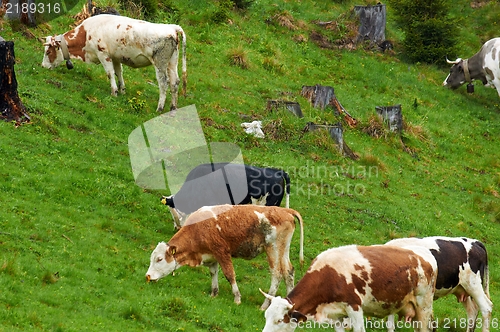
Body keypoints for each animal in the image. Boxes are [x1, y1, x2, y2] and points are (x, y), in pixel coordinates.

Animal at [40, 13, 186, 111]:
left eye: (48, 52)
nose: (43, 66)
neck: (86, 34)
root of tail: (172, 27)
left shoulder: (103, 54)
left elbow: (110, 73)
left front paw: (114, 92)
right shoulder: (115, 57)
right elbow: (119, 73)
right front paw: (122, 90)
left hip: (160, 63)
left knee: (164, 83)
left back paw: (160, 108)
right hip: (172, 62)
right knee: (175, 82)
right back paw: (173, 107)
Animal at [145, 204, 304, 310]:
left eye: (159, 259)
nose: (147, 276)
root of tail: (285, 210)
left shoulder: (222, 252)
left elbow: (229, 275)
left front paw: (237, 298)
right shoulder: (212, 255)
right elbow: (213, 273)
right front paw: (214, 293)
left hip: (273, 249)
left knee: (277, 275)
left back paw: (264, 305)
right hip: (283, 250)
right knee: (288, 272)